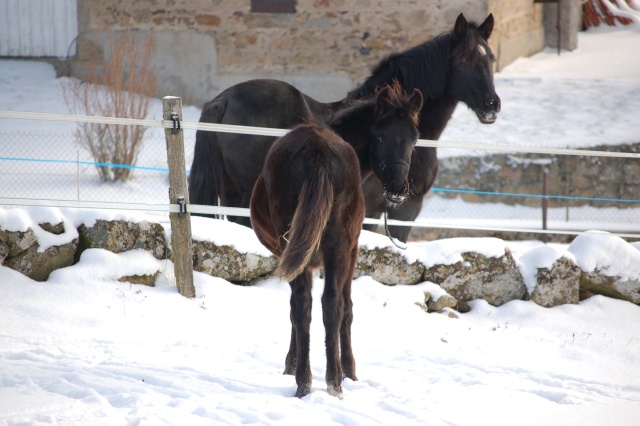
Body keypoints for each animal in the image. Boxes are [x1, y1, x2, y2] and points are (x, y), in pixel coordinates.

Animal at [188, 11, 498, 241]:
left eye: (491, 59)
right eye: (466, 59)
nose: (492, 105)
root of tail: (224, 99)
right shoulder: (403, 210)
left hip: (231, 192)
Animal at [251, 84, 424, 400]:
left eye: (414, 140)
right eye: (380, 136)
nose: (397, 189)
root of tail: (316, 150)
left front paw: (296, 364)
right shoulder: (351, 250)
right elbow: (346, 308)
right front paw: (349, 370)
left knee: (310, 304)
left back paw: (313, 382)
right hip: (337, 248)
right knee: (326, 305)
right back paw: (329, 381)